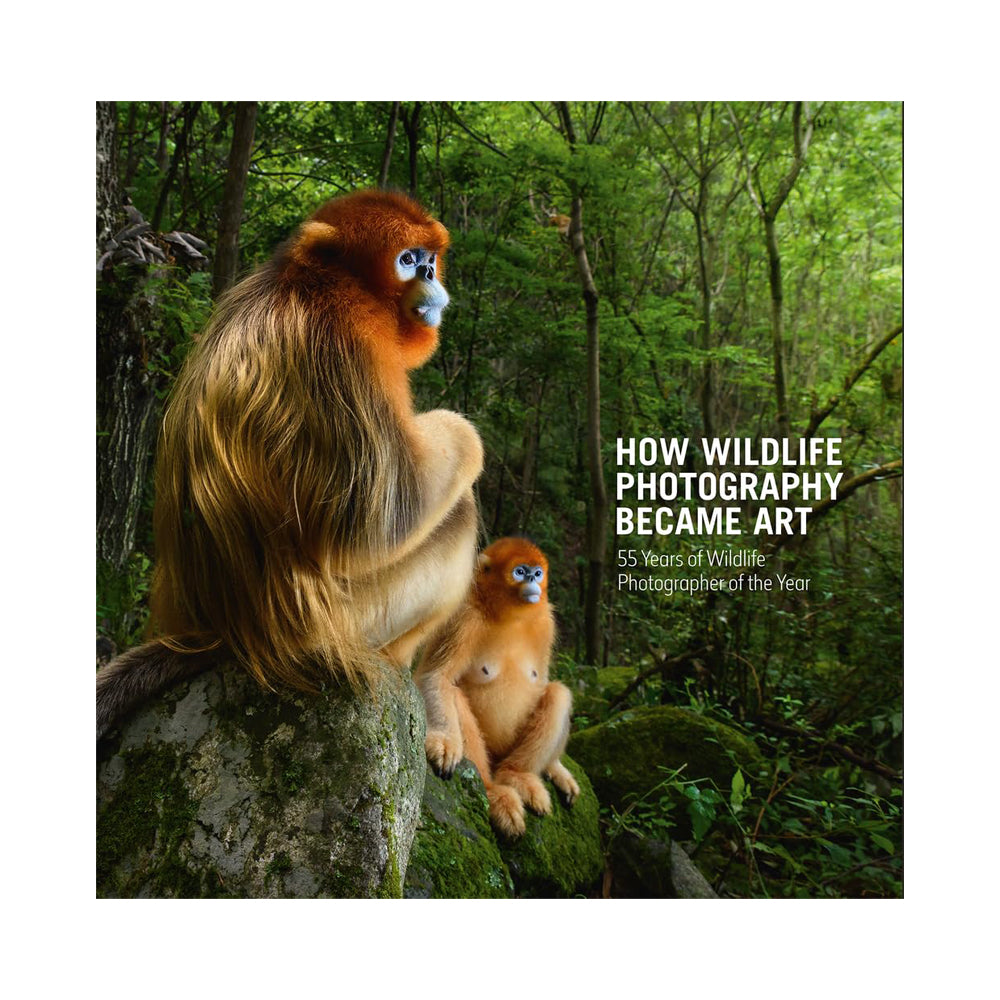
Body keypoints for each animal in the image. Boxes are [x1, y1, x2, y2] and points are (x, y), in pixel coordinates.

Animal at [97, 190, 483, 740]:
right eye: (408, 260)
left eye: (428, 257)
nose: (430, 270)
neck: (307, 282)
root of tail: (222, 633)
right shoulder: (345, 339)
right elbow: (381, 520)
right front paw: (465, 435)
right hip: (345, 622)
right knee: (456, 514)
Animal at [413, 537, 580, 837]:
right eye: (520, 572)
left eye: (538, 573)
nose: (533, 581)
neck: (510, 617)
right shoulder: (464, 617)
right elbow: (436, 677)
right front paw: (444, 741)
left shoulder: (546, 623)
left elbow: (543, 682)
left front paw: (556, 768)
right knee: (454, 695)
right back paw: (493, 792)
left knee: (558, 693)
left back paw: (518, 776)